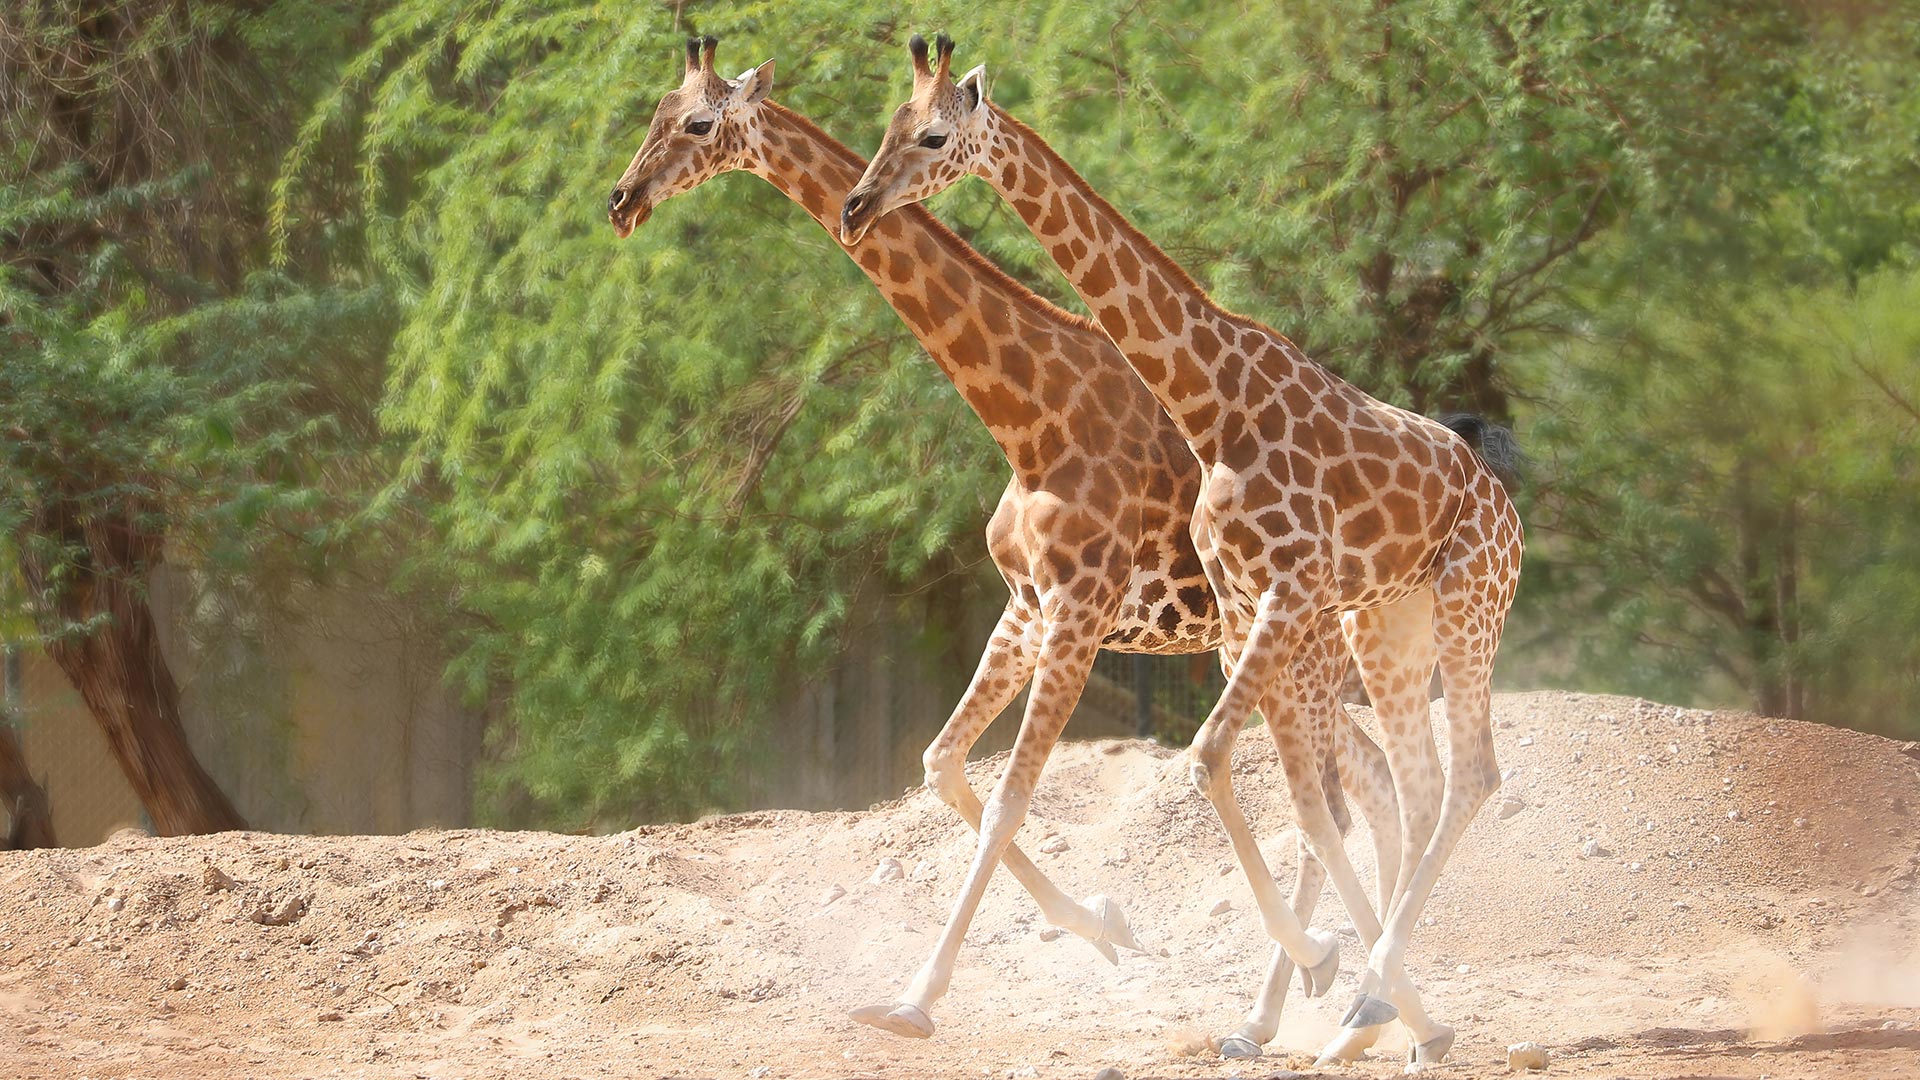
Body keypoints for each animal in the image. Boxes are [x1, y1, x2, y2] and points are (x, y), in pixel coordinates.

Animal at [605, 38, 1404, 1048]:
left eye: (700, 124)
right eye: (655, 115)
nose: (621, 202)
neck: (1030, 421)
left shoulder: (1081, 610)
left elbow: (1012, 800)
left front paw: (915, 998)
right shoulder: (1024, 608)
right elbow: (944, 764)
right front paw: (1103, 923)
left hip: (1292, 641)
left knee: (1354, 786)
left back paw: (1342, 986)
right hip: (1261, 649)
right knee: (1361, 782)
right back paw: (1331, 998)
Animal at [841, 36, 1525, 1068]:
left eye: (930, 136)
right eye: (886, 125)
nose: (857, 206)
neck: (1213, 405)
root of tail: (1505, 504)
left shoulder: (1278, 592)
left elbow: (1209, 762)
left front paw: (1321, 966)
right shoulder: (1246, 604)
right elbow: (1289, 793)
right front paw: (1320, 975)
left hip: (1462, 606)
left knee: (1468, 773)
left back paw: (1372, 1007)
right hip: (1385, 626)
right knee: (1413, 781)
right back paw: (1384, 1023)